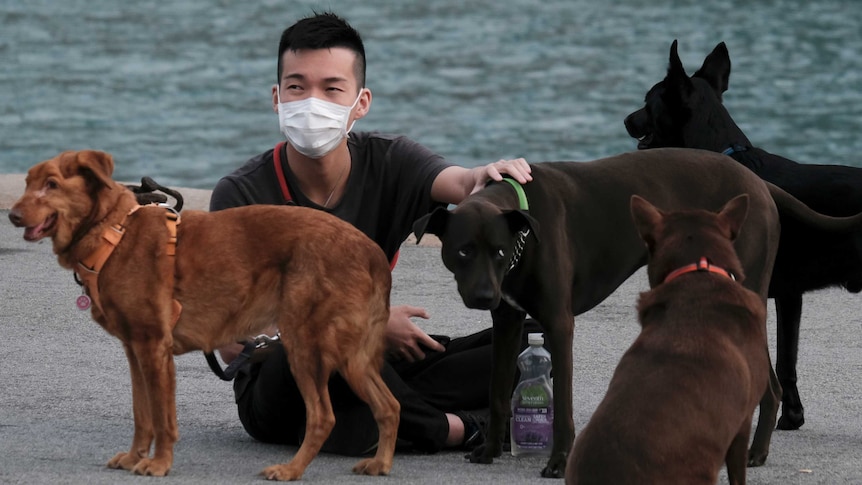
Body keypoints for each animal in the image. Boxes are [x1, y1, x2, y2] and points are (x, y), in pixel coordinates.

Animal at [8, 150, 400, 480]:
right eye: (27, 183)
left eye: (52, 184)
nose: (12, 215)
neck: (113, 233)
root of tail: (371, 253)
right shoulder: (135, 351)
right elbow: (141, 413)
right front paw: (135, 457)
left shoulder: (154, 348)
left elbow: (162, 417)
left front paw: (159, 464)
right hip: (352, 358)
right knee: (388, 405)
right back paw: (380, 463)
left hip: (305, 346)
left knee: (322, 416)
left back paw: (291, 470)